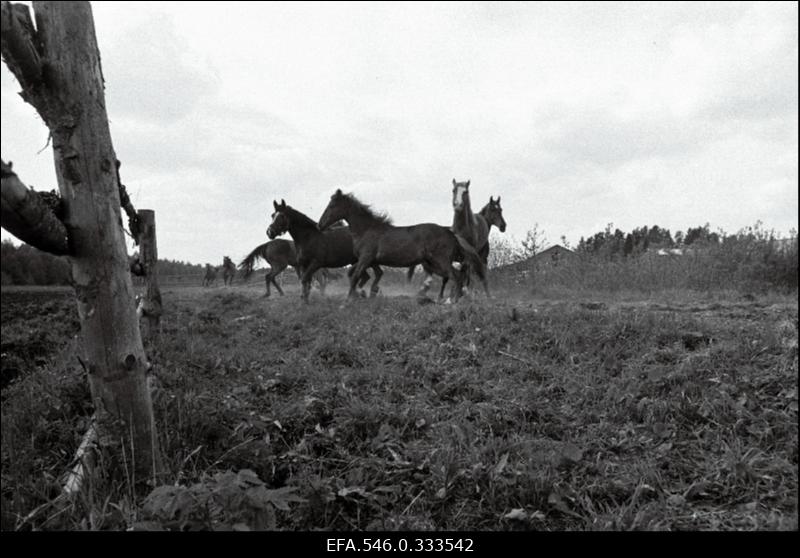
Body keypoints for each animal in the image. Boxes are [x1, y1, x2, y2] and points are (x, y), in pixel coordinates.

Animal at [318, 189, 488, 304]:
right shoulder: (370, 261)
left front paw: (348, 301)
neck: (367, 229)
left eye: (332, 205)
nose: (320, 225)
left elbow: (355, 276)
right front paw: (366, 293)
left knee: (456, 276)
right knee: (457, 276)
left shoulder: (365, 259)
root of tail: (450, 232)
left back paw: (451, 301)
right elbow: (363, 275)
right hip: (433, 263)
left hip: (441, 261)